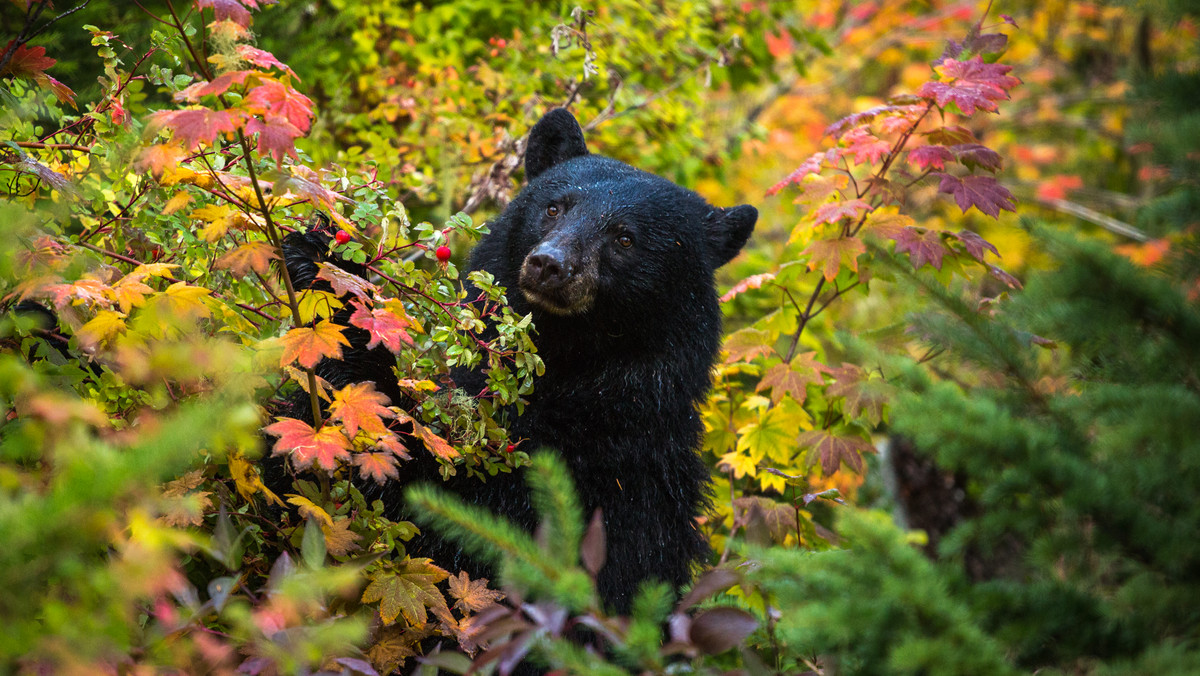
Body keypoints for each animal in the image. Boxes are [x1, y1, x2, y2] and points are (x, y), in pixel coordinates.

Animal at [276, 109, 753, 614]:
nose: (550, 264)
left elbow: (441, 506)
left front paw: (331, 284)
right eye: (554, 207)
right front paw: (319, 251)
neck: (567, 363)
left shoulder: (594, 475)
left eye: (625, 238)